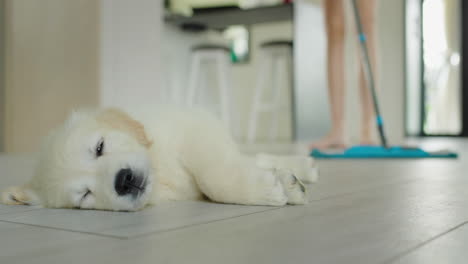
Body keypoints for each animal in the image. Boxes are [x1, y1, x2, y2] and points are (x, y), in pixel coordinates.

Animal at [0, 106, 318, 211]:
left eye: (99, 147)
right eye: (85, 195)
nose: (124, 180)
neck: (160, 171)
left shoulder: (196, 127)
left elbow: (213, 176)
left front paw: (271, 189)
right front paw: (282, 185)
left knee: (254, 155)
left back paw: (304, 166)